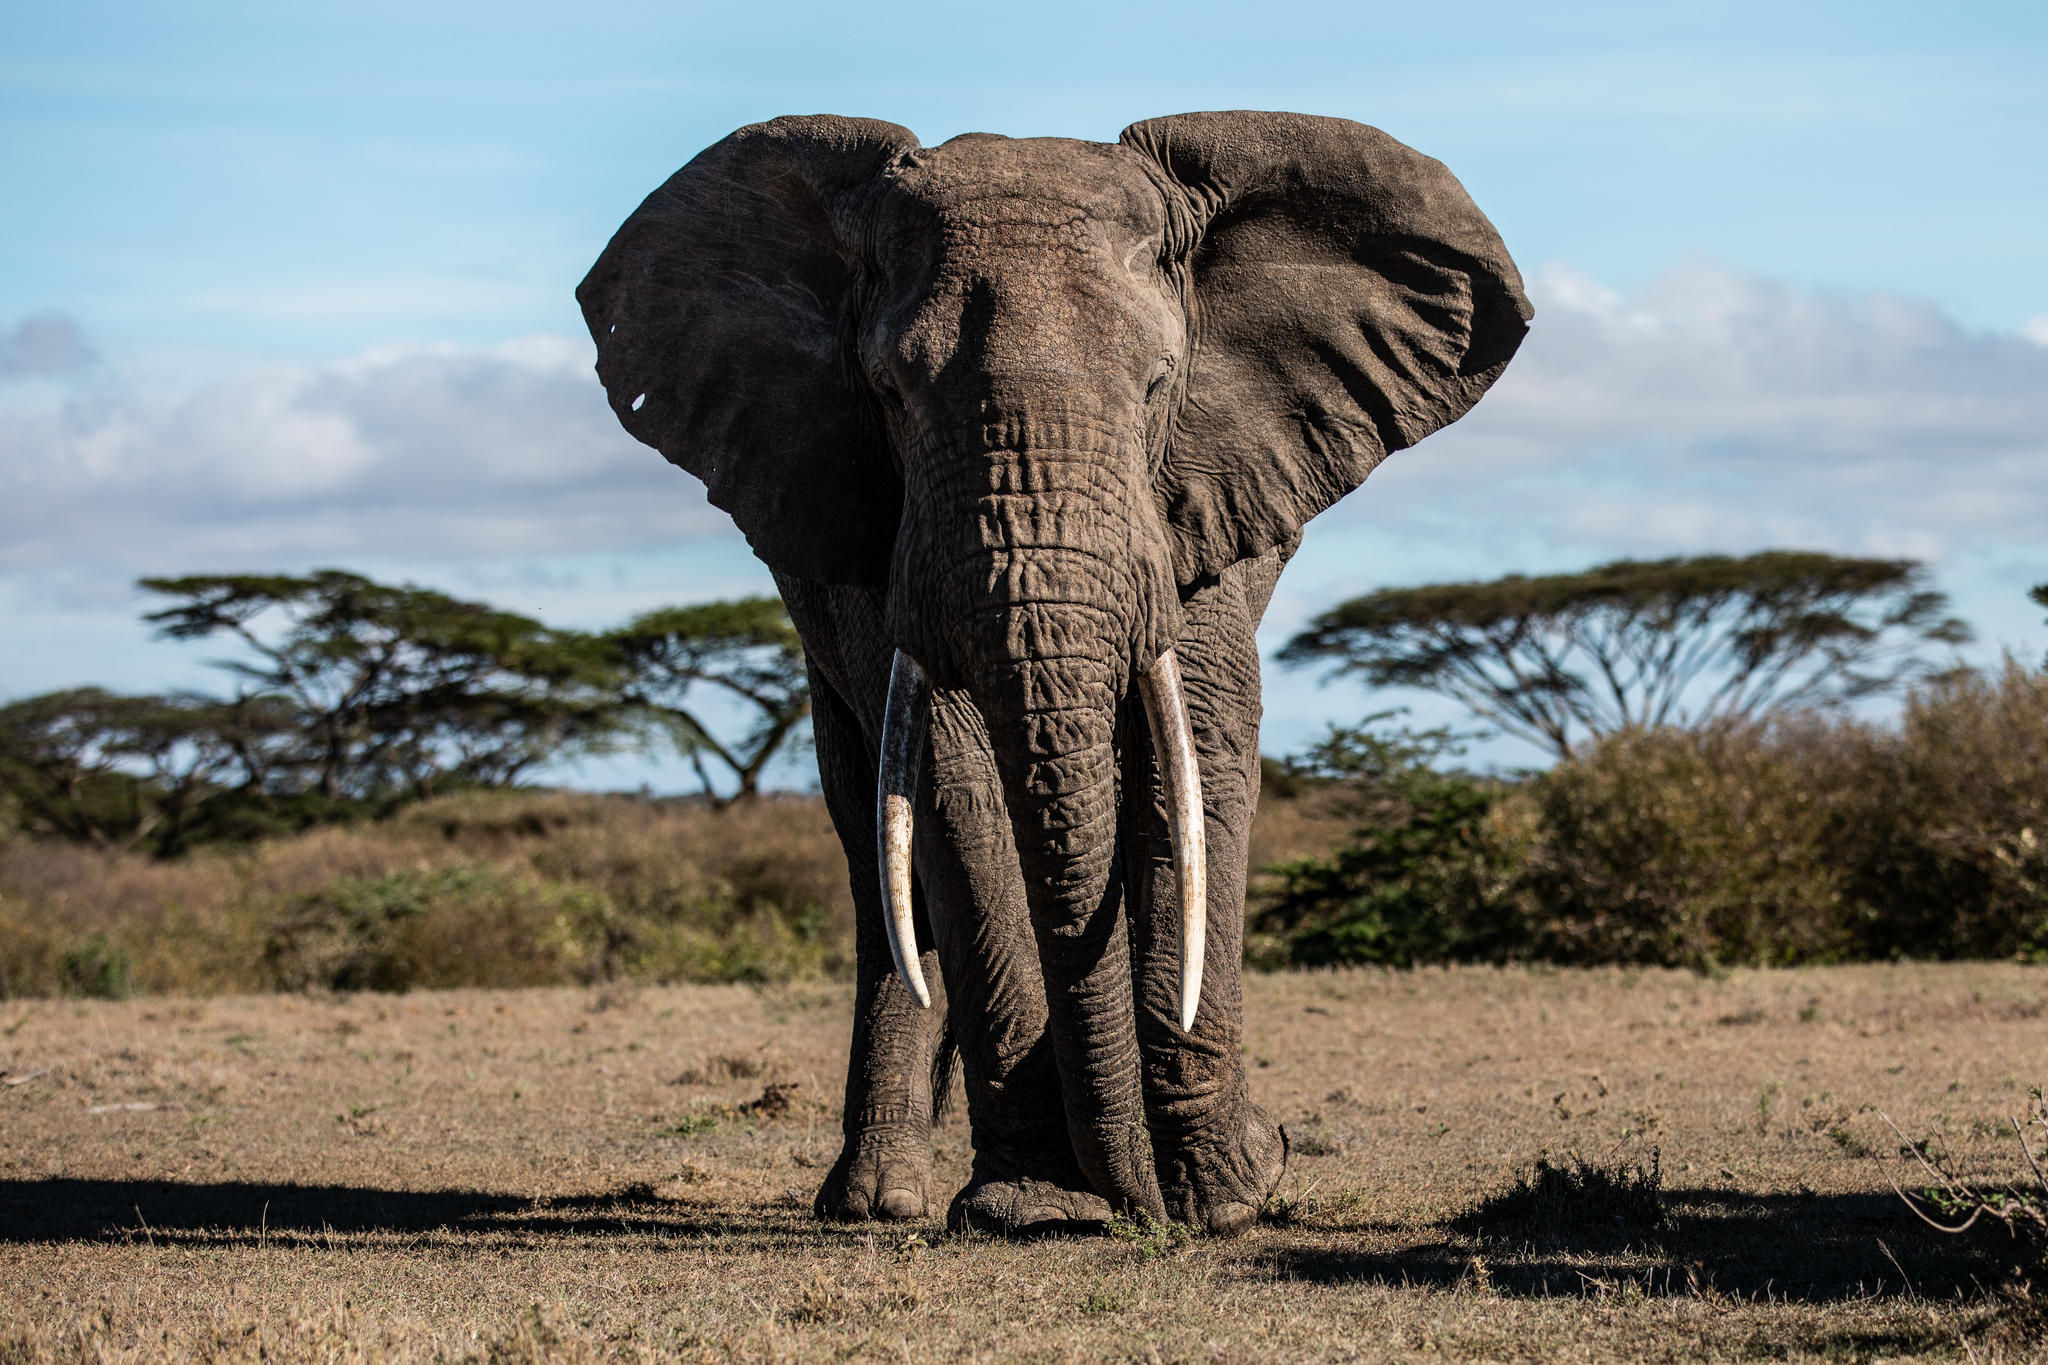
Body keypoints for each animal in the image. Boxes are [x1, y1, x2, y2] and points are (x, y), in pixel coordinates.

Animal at [578, 110, 1529, 1236]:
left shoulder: (1211, 485)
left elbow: (1202, 745)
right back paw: (877, 1201)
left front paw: (1223, 1194)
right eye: (889, 393)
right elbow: (951, 780)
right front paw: (1036, 1204)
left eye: (1158, 386)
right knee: (872, 835)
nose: (1143, 1203)